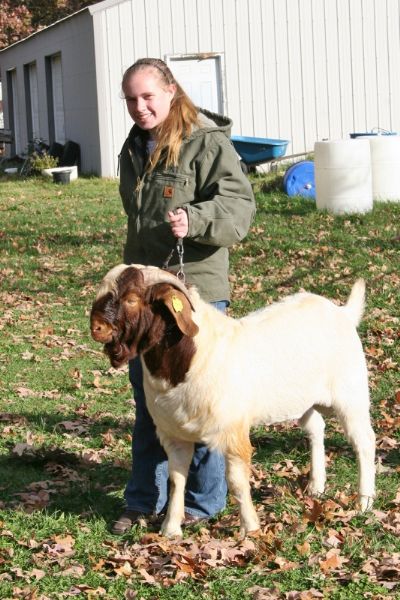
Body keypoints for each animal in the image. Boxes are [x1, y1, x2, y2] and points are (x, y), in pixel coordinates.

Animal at [90, 264, 376, 536]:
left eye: (131, 299)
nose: (96, 328)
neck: (196, 354)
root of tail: (342, 312)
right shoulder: (174, 435)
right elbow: (176, 480)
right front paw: (171, 529)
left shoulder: (232, 432)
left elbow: (237, 482)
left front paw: (250, 528)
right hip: (304, 401)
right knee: (316, 430)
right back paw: (316, 487)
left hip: (351, 395)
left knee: (364, 441)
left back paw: (364, 502)